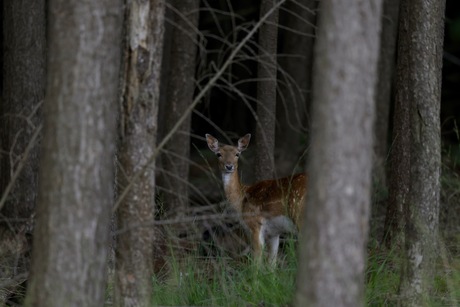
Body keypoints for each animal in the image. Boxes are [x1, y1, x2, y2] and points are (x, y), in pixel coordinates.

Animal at [205, 134, 306, 264]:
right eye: (219, 154)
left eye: (237, 154)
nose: (229, 166)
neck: (242, 200)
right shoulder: (273, 232)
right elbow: (272, 263)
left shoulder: (254, 223)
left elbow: (256, 261)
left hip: (299, 215)